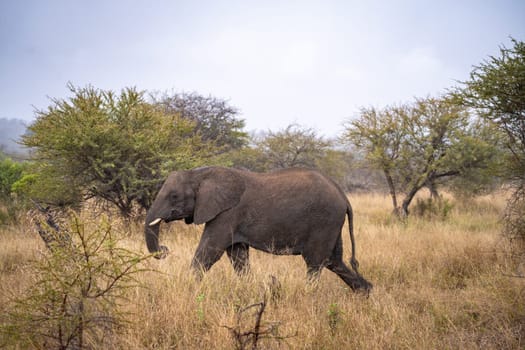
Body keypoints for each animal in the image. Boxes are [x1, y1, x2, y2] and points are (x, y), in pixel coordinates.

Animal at [145, 167, 370, 292]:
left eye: (174, 196)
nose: (164, 249)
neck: (199, 173)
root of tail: (344, 196)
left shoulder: (227, 213)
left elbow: (209, 251)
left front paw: (188, 288)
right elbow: (238, 256)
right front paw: (250, 289)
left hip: (324, 221)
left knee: (315, 263)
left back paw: (309, 295)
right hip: (332, 224)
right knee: (334, 261)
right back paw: (366, 293)